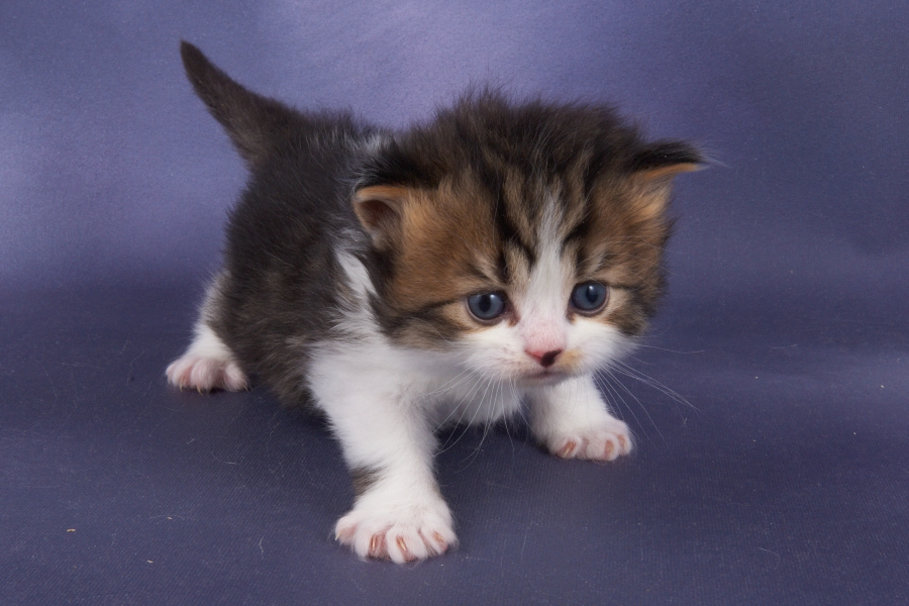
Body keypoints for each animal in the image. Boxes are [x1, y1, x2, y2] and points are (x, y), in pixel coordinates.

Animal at [165, 41, 704, 564]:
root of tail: (303, 141)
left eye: (591, 295)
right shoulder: (347, 352)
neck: (451, 360)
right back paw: (208, 359)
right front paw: (401, 517)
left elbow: (568, 374)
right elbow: (385, 433)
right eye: (486, 304)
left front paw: (582, 419)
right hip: (260, 281)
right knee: (225, 296)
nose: (546, 351)